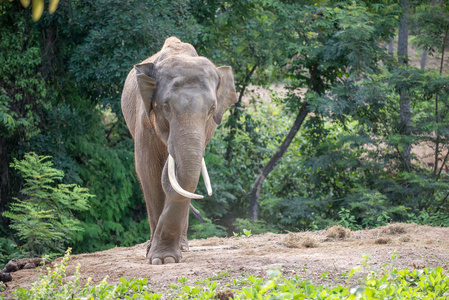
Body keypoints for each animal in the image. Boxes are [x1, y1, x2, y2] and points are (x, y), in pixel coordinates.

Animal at [119, 37, 238, 264]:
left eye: (211, 109)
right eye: (165, 106)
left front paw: (166, 258)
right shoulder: (143, 119)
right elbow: (147, 170)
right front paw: (157, 258)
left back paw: (183, 246)